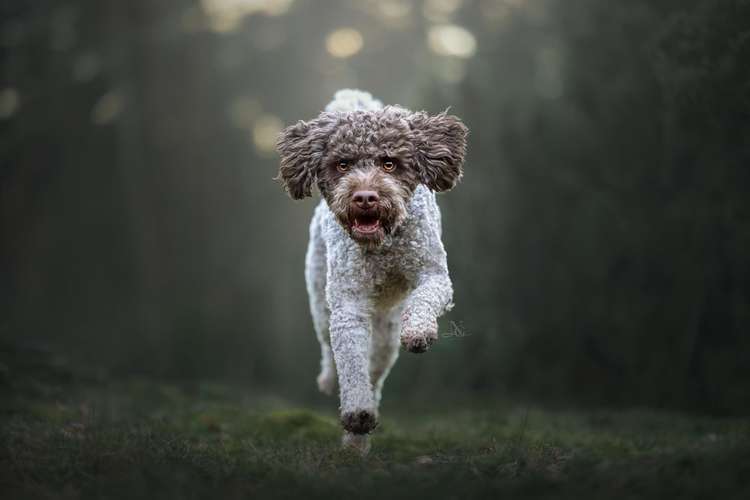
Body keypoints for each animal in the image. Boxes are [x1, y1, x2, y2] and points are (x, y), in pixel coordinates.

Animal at [274, 90, 468, 454]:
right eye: (343, 164)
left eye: (388, 162)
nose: (365, 197)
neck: (383, 244)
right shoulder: (348, 306)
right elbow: (350, 360)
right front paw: (357, 415)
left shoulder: (433, 273)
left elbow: (425, 297)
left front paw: (419, 332)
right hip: (321, 300)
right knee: (332, 351)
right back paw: (341, 405)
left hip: (386, 331)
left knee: (376, 368)